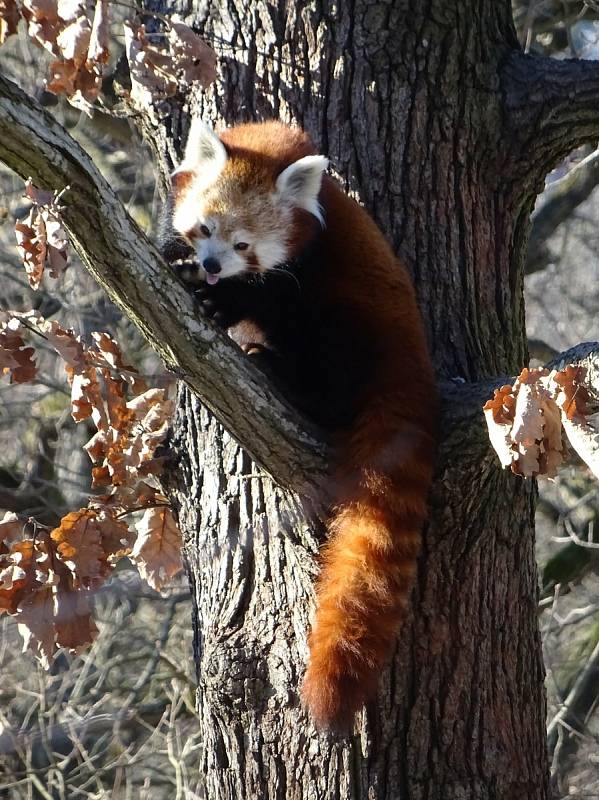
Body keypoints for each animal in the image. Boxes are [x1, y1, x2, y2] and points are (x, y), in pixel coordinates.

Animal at [162, 120, 438, 732]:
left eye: (244, 245)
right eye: (205, 229)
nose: (212, 265)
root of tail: (414, 368)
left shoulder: (308, 263)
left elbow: (268, 293)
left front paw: (220, 300)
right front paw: (177, 258)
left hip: (353, 324)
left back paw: (279, 371)